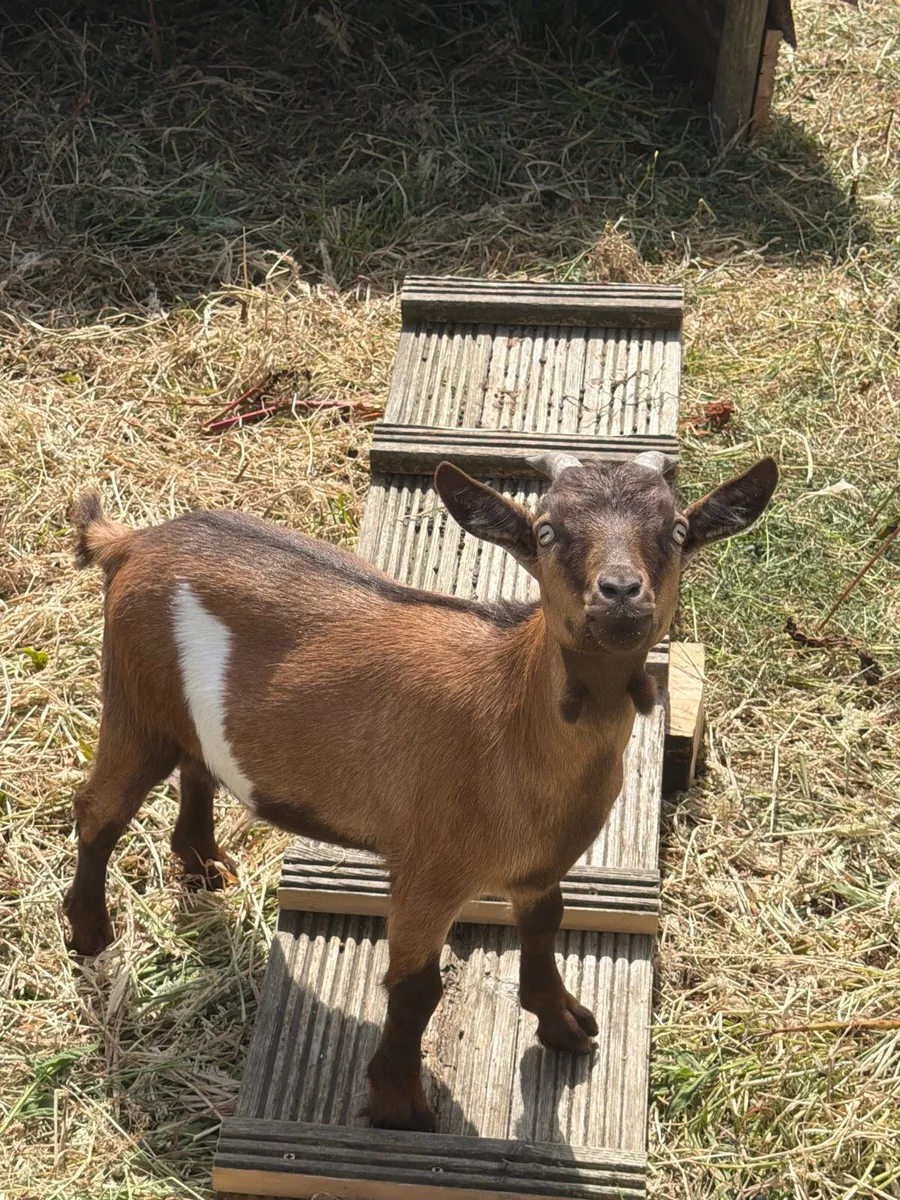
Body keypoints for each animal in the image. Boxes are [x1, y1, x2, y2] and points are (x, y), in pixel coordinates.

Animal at [65, 450, 777, 1130]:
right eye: (547, 531)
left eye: (678, 530)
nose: (621, 592)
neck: (511, 715)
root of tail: (131, 543)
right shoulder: (425, 871)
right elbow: (416, 989)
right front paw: (399, 1106)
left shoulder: (541, 865)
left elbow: (545, 927)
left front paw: (566, 1027)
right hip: (133, 701)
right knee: (98, 808)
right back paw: (90, 932)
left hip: (177, 715)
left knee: (196, 764)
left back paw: (203, 865)